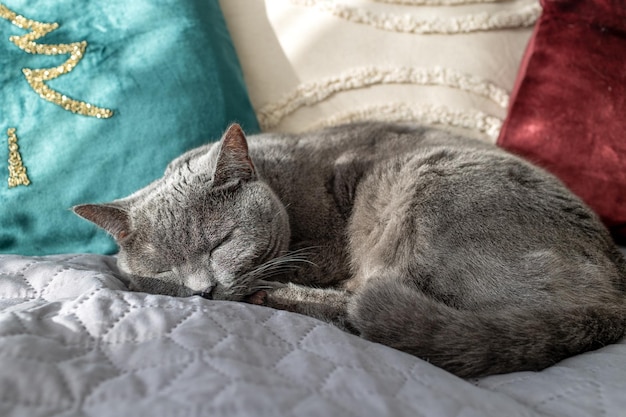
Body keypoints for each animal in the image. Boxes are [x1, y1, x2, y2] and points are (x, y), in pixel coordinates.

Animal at [74, 121, 624, 376]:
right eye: (165, 269)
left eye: (220, 243)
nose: (203, 290)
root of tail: (611, 296)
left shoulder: (330, 244)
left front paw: (262, 284)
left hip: (430, 182)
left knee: (365, 304)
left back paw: (278, 296)